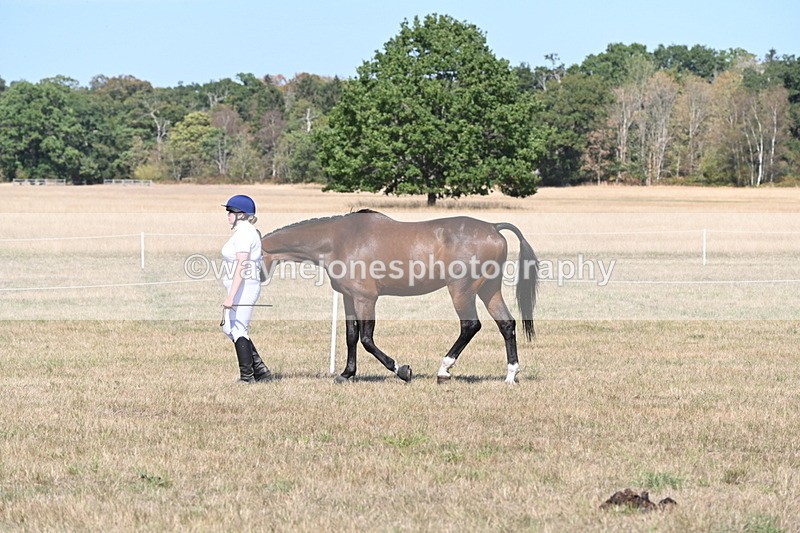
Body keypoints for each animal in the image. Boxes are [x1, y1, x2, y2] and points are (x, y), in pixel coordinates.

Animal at [260, 209, 538, 384]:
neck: (339, 240)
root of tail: (493, 227)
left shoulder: (366, 299)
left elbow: (366, 339)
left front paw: (402, 370)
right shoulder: (349, 298)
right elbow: (351, 337)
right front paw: (347, 374)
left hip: (462, 291)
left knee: (470, 325)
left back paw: (444, 370)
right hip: (488, 290)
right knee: (506, 324)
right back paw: (511, 374)